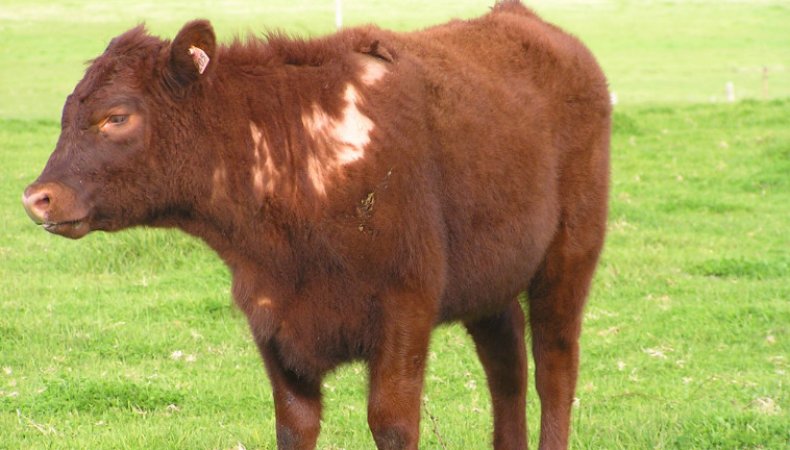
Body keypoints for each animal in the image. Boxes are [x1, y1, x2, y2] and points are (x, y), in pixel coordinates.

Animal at [21, 1, 610, 449]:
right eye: (67, 113)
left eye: (117, 117)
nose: (37, 197)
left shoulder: (405, 309)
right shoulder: (273, 321)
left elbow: (392, 425)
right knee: (506, 362)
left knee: (554, 366)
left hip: (570, 254)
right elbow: (295, 426)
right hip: (492, 277)